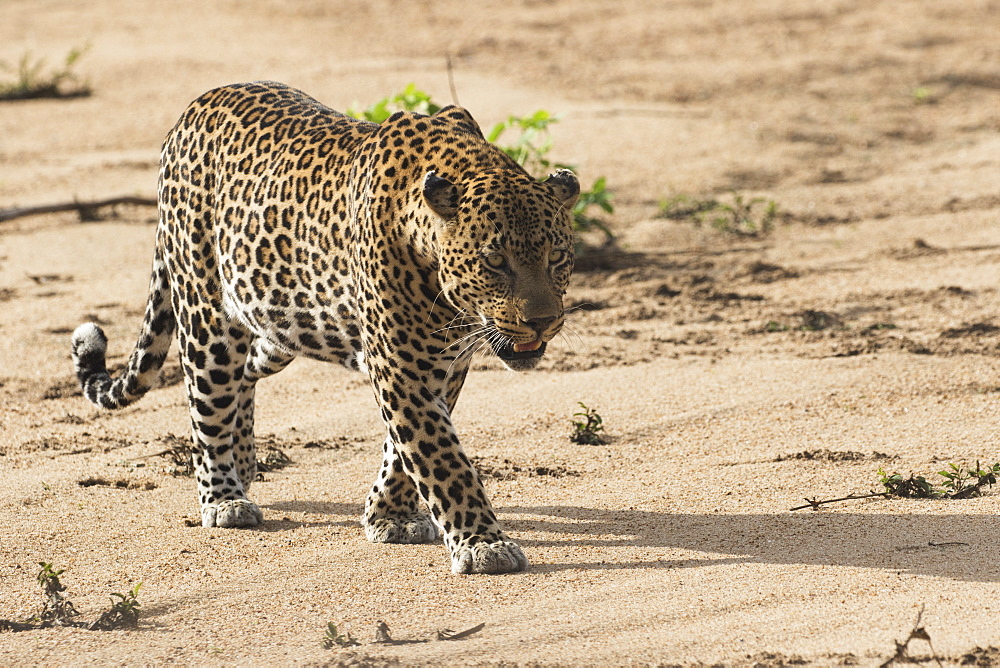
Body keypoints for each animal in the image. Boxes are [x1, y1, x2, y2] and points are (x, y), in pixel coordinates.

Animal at [70, 81, 580, 576]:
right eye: (495, 262)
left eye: (557, 257)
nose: (542, 321)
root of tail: (192, 109)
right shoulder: (402, 366)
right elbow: (440, 457)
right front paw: (483, 544)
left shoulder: (443, 364)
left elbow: (404, 450)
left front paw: (390, 515)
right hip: (207, 317)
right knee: (207, 399)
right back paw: (225, 496)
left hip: (279, 321)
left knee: (246, 373)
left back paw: (243, 459)